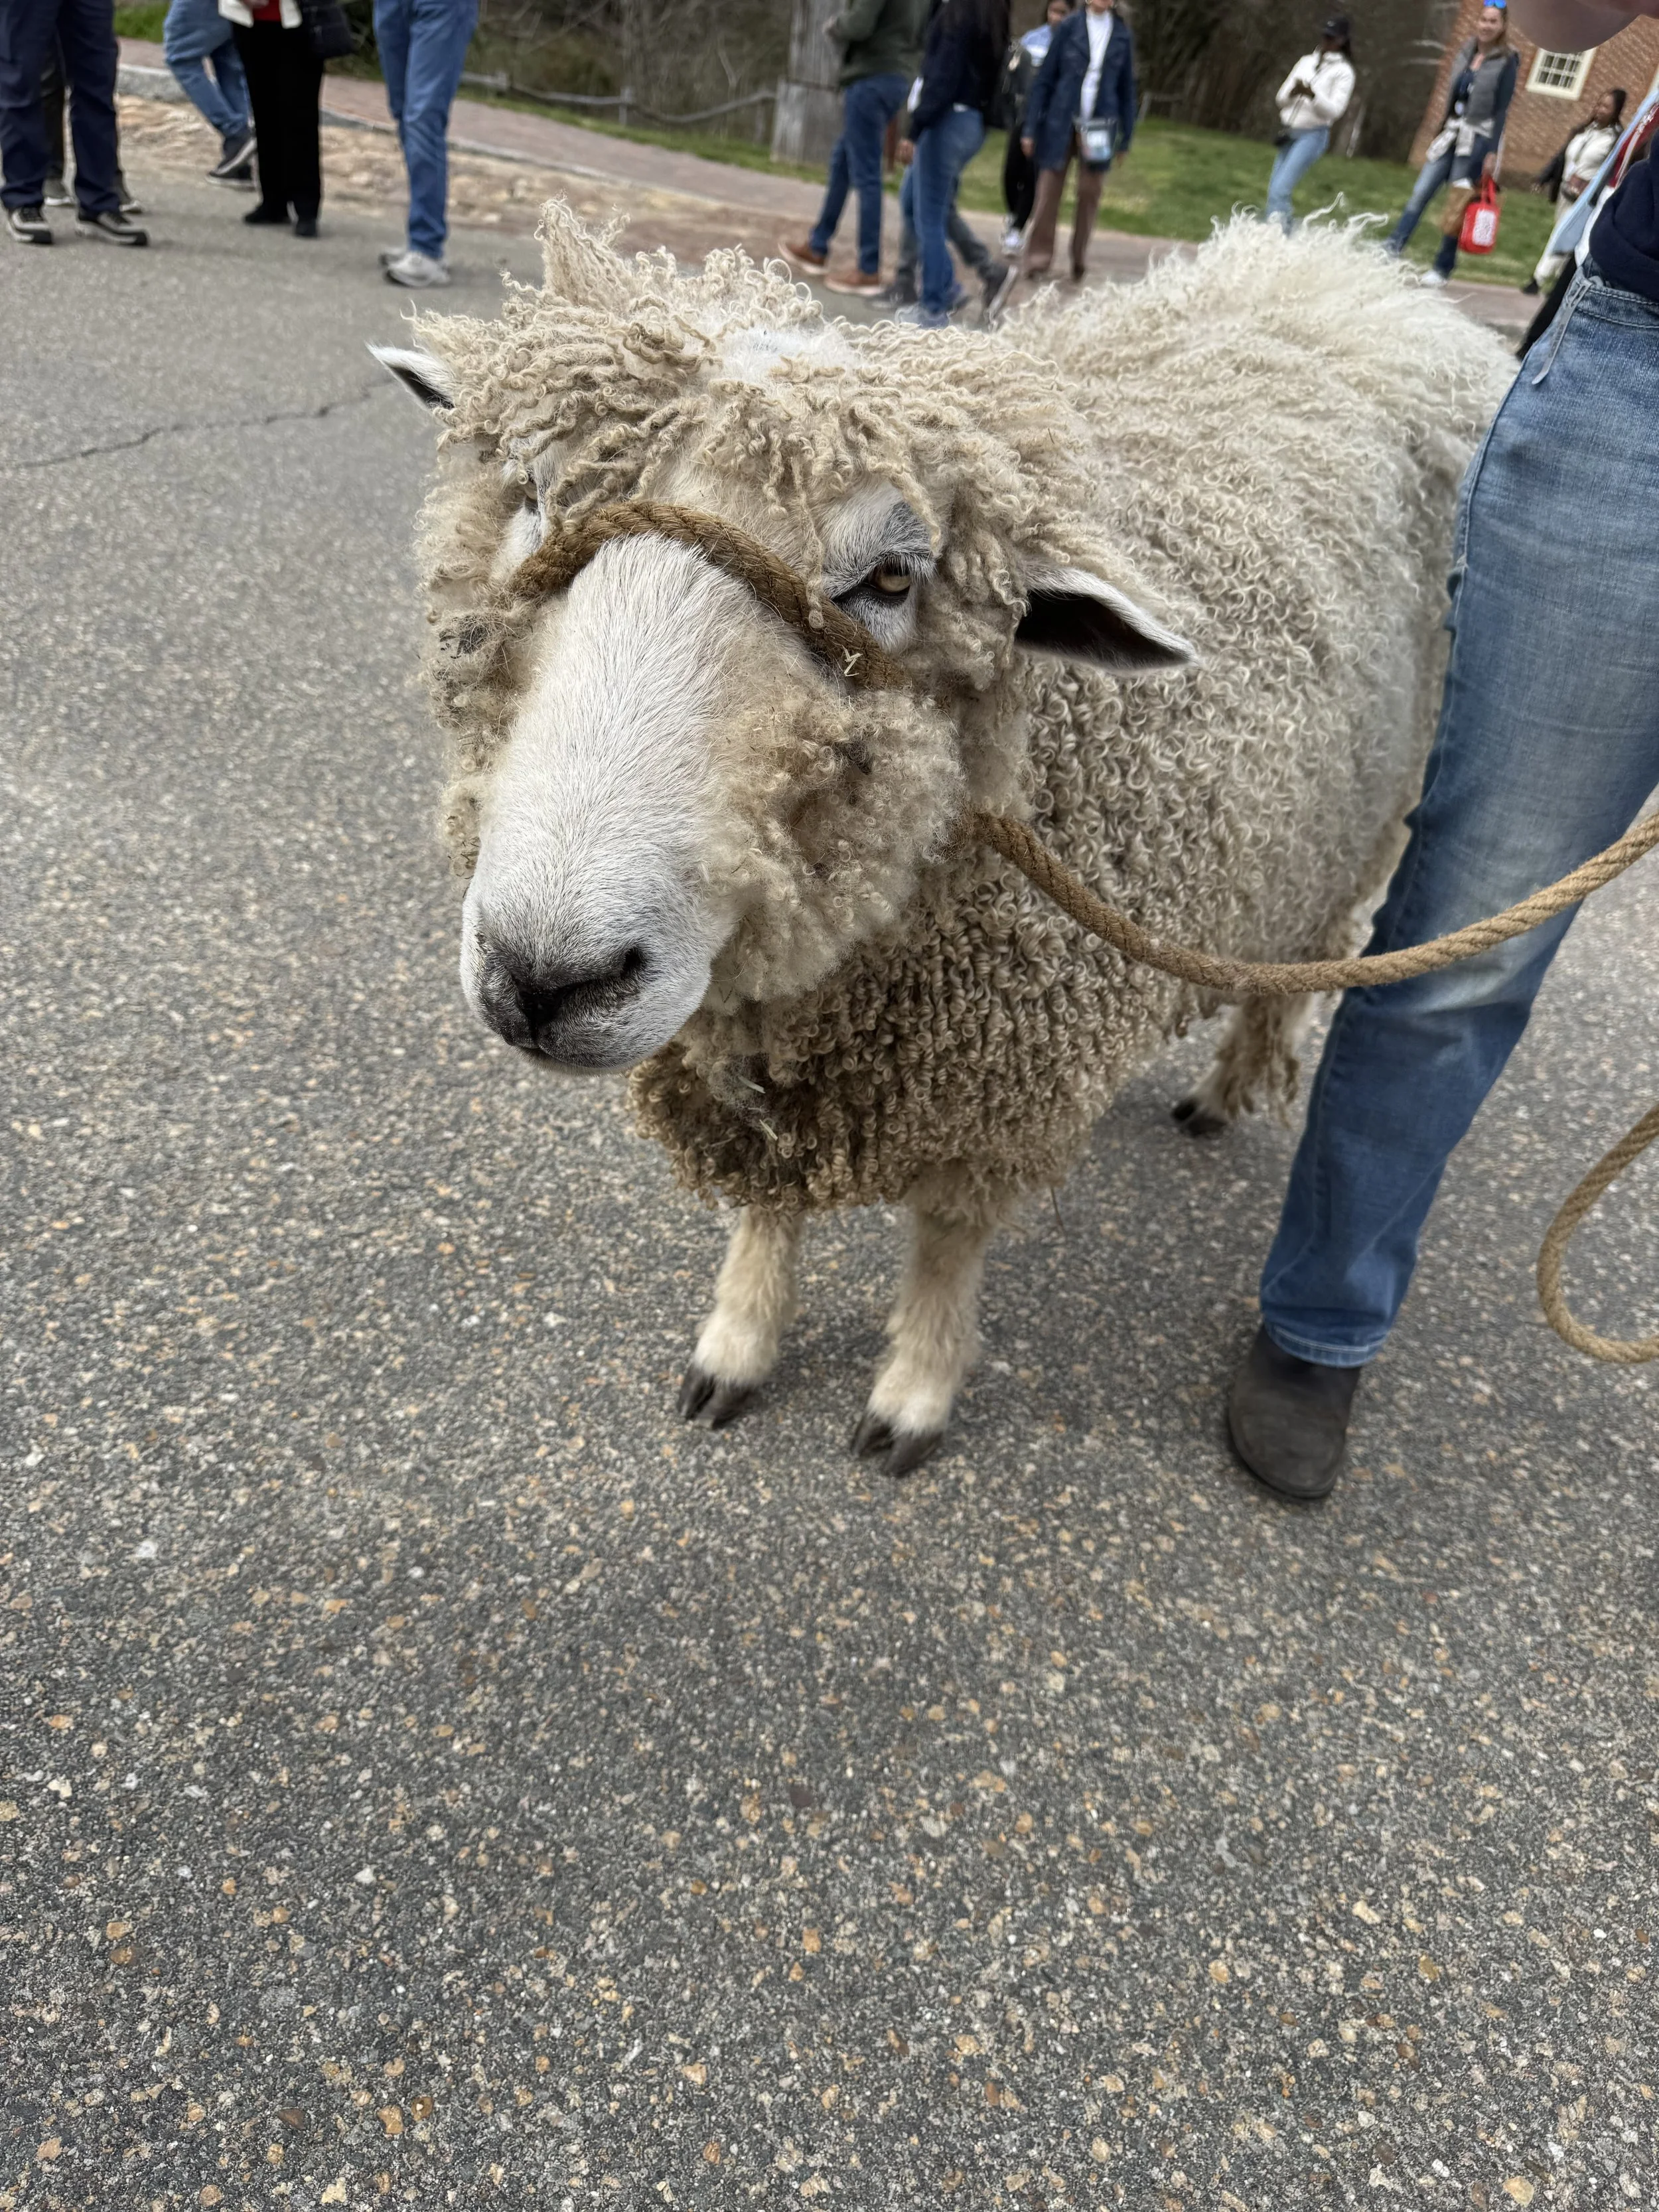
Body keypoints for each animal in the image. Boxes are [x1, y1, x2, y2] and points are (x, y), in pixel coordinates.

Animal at [372, 204, 1513, 1475]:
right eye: (530, 491)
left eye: (889, 577)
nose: (543, 974)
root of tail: (1356, 269)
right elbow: (772, 1198)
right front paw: (740, 1337)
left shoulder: (1002, 1067)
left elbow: (951, 1233)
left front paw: (914, 1389)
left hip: (1383, 804)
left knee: (1316, 945)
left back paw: (1232, 1080)